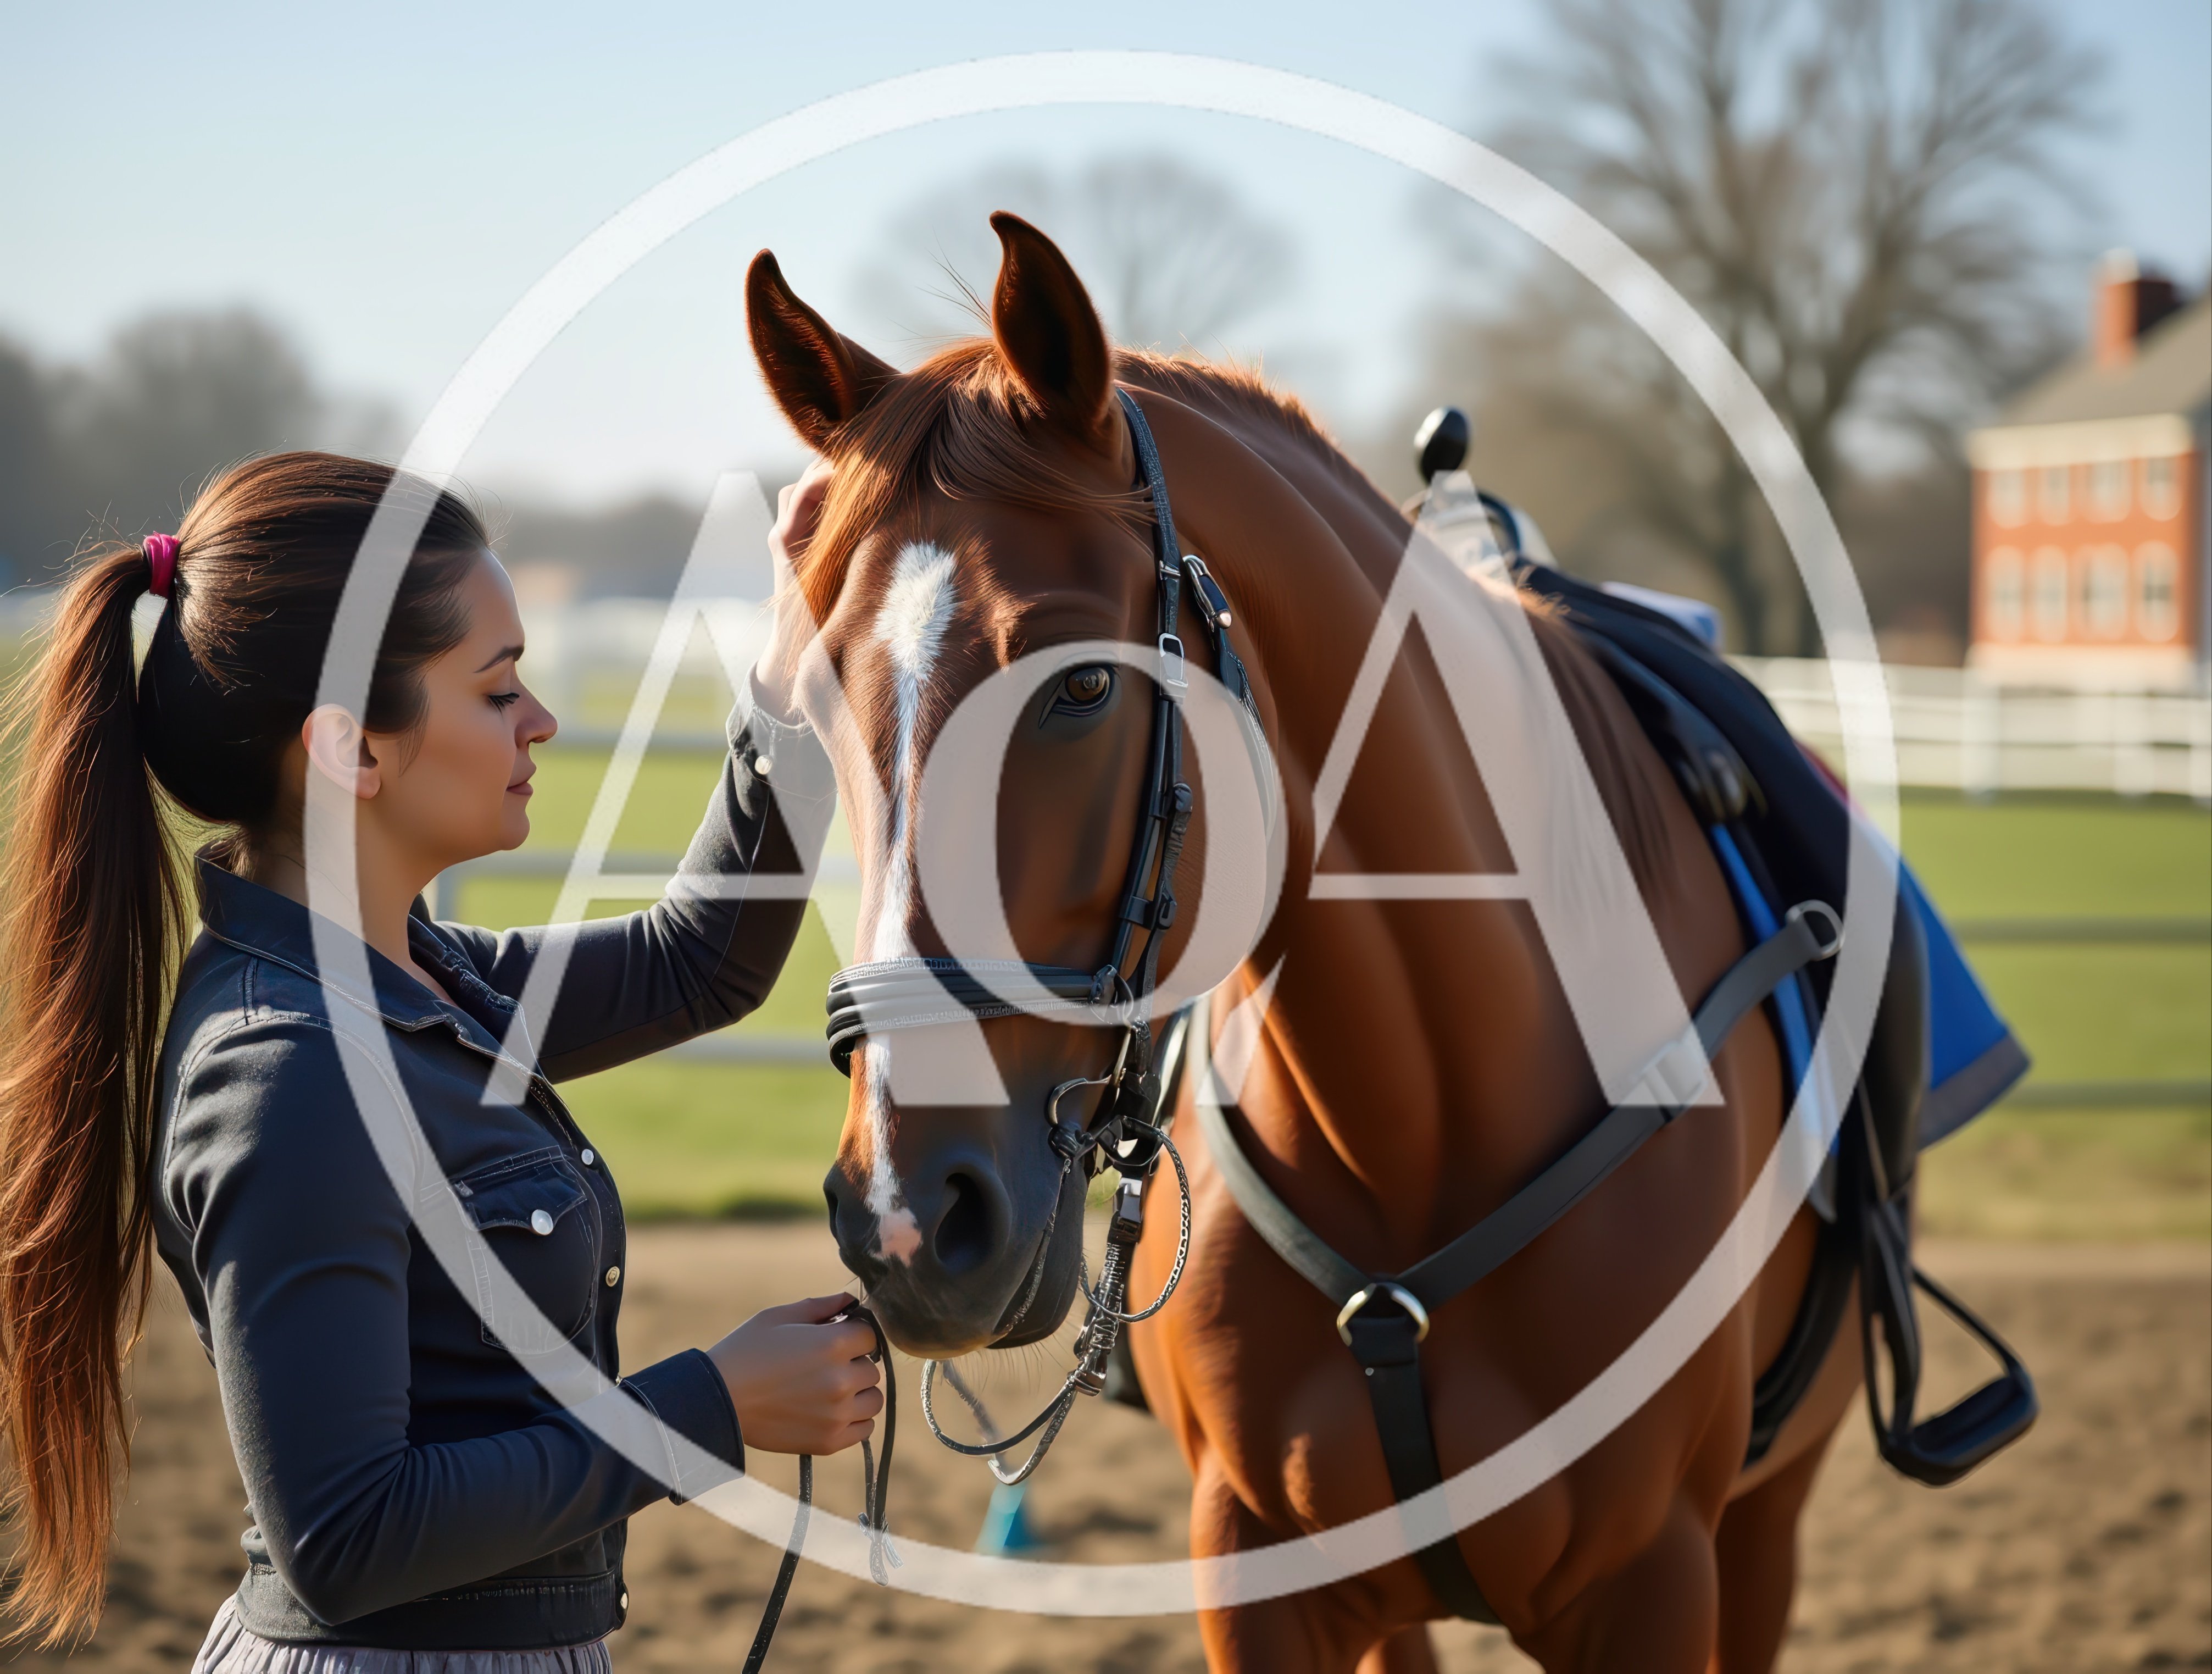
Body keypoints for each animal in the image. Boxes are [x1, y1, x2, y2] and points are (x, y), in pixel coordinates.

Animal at [746, 213, 1864, 1673]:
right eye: (805, 712)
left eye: (1085, 683)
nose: (904, 1221)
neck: (1425, 1127)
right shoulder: (1260, 1572)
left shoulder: (1658, 1581)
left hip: (1765, 1530)